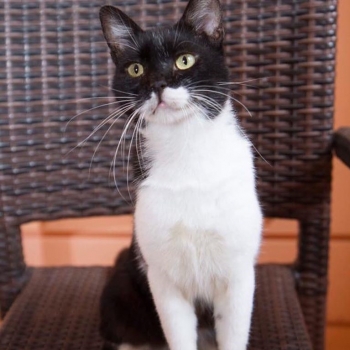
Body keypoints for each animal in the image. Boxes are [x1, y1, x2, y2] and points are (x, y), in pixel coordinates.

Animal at [98, 0, 262, 350]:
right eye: (136, 69)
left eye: (184, 60)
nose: (159, 84)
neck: (186, 152)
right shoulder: (161, 276)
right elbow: (178, 334)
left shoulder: (239, 273)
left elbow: (233, 333)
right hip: (119, 291)